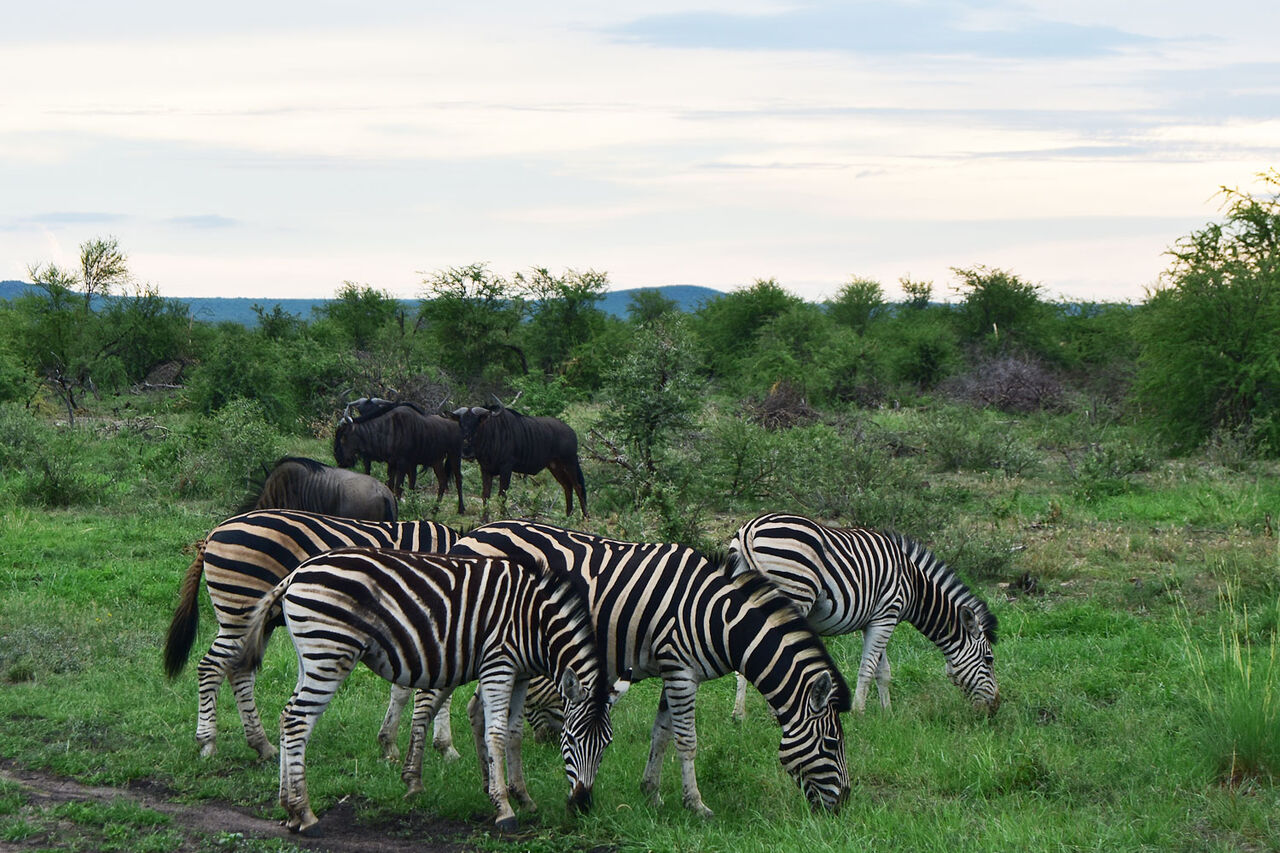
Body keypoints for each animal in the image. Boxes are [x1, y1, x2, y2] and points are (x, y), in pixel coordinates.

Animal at [162, 509, 458, 760]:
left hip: (260, 620)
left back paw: (262, 744)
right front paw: (444, 746)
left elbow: (408, 688)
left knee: (239, 670)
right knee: (211, 667)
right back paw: (208, 742)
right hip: (240, 613)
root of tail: (215, 532)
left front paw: (393, 743)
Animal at [233, 547, 615, 834]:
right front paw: (504, 807)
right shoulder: (499, 664)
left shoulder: (520, 675)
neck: (534, 623)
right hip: (330, 651)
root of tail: (296, 573)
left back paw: (290, 809)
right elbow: (495, 735)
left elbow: (515, 735)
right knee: (297, 721)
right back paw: (305, 813)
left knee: (288, 717)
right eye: (571, 740)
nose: (583, 806)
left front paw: (522, 797)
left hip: (310, 655)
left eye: (606, 746)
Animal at [404, 521, 852, 817]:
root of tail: (470, 534)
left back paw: (491, 786)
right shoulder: (681, 671)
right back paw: (414, 780)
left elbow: (661, 734)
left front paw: (651, 793)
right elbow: (686, 740)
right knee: (427, 700)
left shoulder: (675, 669)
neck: (717, 618)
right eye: (832, 745)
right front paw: (697, 805)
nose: (845, 803)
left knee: (476, 709)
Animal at [728, 512, 1000, 720]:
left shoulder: (876, 620)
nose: (995, 707)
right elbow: (867, 669)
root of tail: (750, 528)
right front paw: (859, 713)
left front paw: (888, 715)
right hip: (795, 592)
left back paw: (739, 714)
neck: (914, 585)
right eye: (989, 659)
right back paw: (777, 712)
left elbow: (883, 671)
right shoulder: (886, 616)